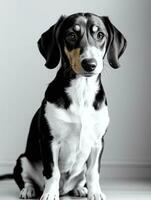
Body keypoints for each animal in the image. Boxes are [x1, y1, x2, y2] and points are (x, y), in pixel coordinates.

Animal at [12, 12, 126, 200]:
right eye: (71, 35)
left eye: (100, 35)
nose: (90, 64)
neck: (82, 92)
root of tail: (64, 190)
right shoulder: (50, 141)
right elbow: (53, 171)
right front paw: (49, 194)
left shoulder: (98, 142)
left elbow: (93, 172)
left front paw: (95, 192)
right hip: (23, 159)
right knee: (26, 180)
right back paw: (29, 190)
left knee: (81, 178)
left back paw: (80, 189)